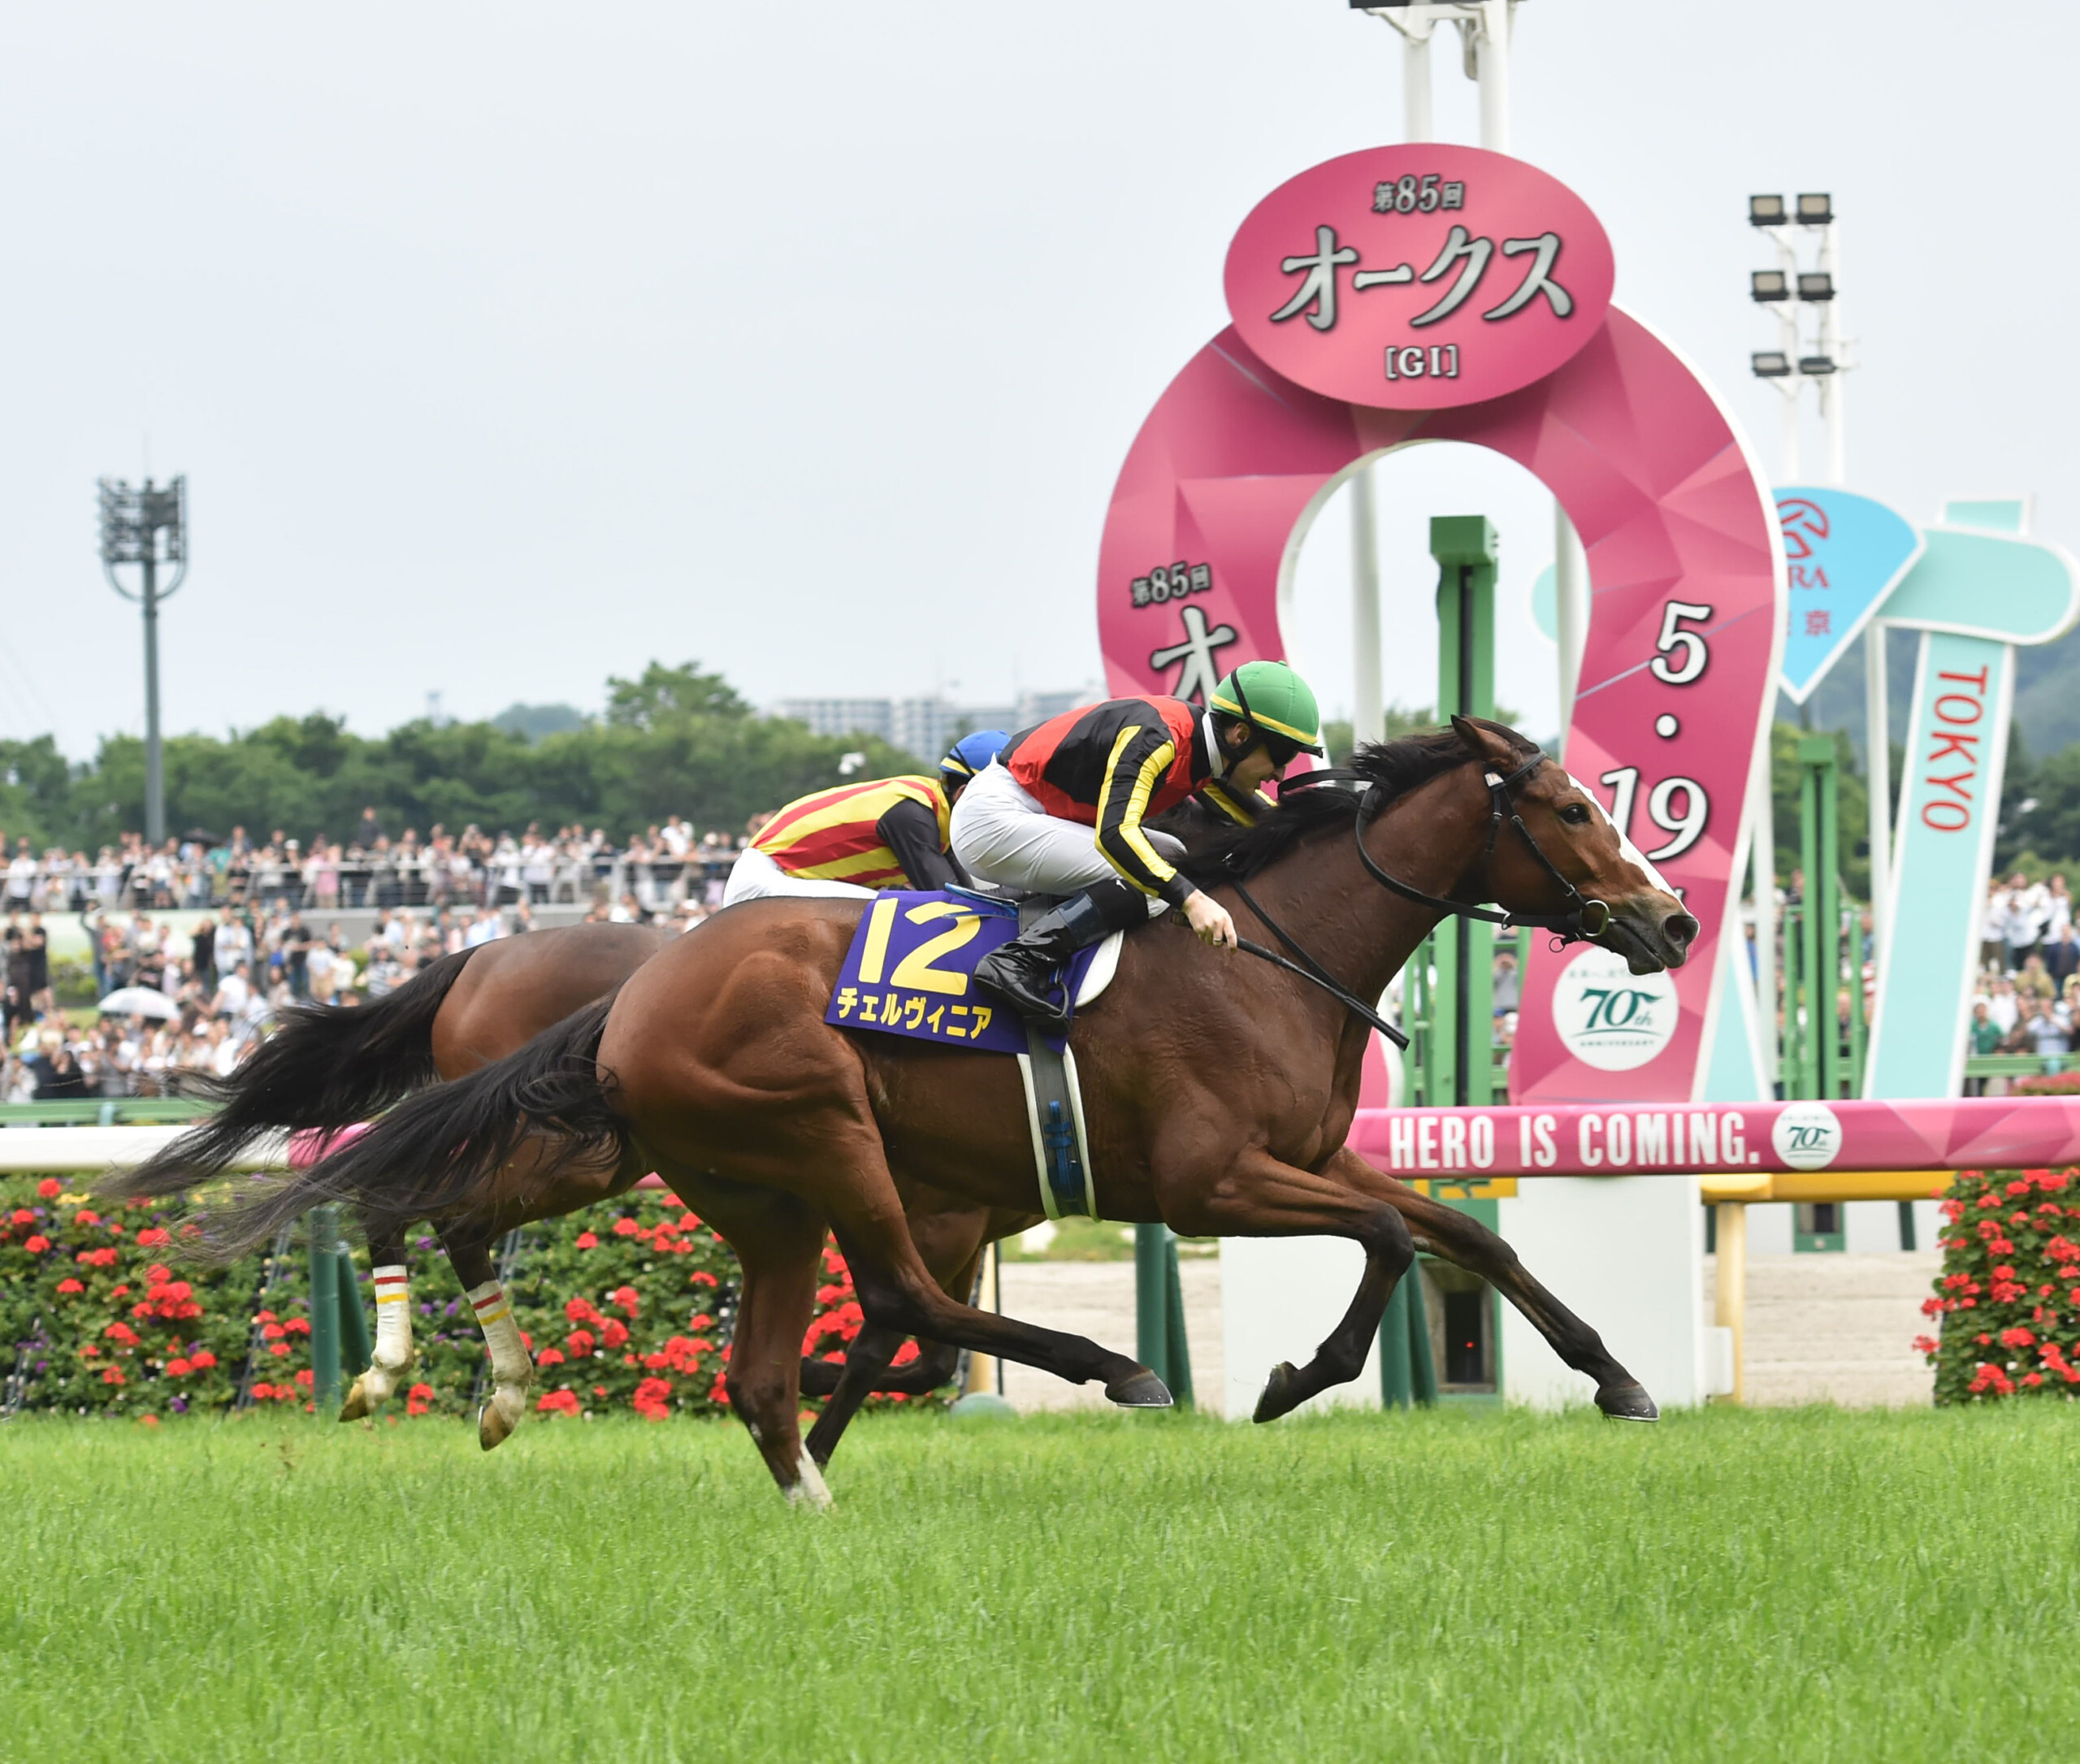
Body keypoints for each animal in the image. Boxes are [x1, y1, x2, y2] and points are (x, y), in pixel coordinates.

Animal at [107, 915, 1015, 1439]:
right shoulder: (933, 1212)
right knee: (417, 1199)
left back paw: (486, 1387)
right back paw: (401, 1367)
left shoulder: (956, 1220)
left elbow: (924, 1348)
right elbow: (903, 1330)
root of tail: (479, 954)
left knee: (434, 1206)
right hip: (558, 1137)